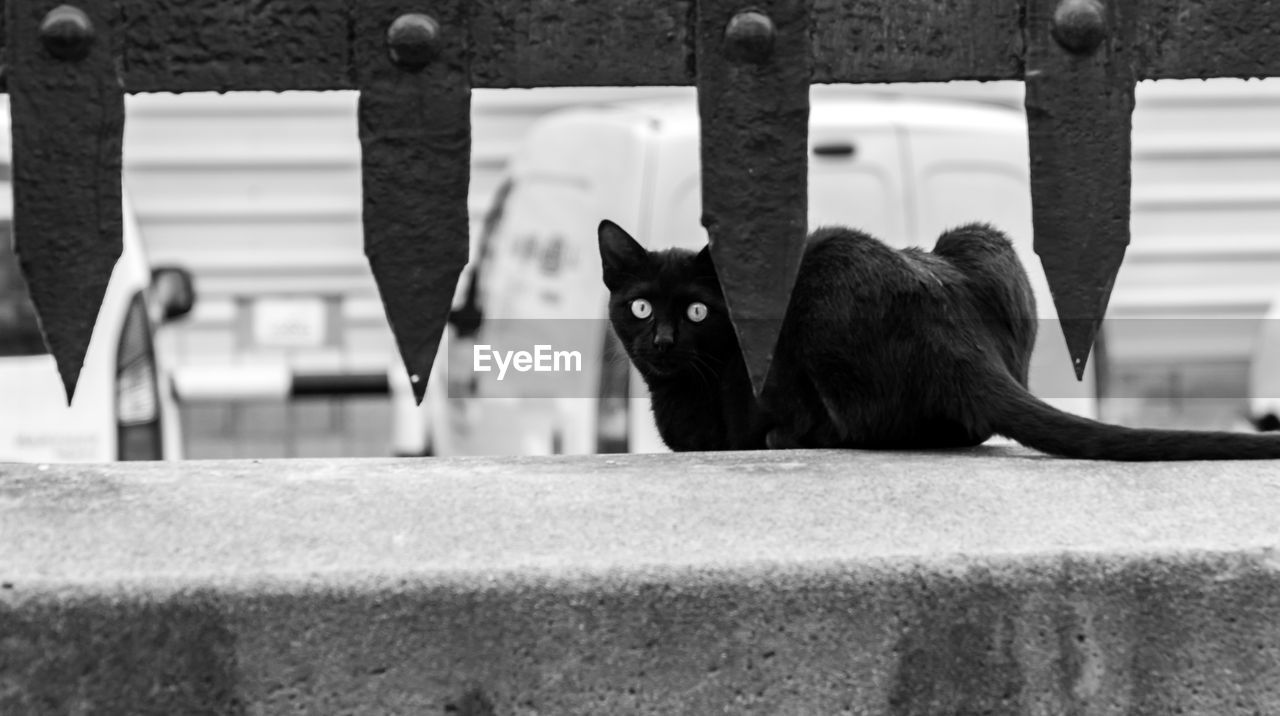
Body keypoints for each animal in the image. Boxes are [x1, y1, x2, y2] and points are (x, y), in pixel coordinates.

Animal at [599, 221, 1280, 461]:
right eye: (640, 306)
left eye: (696, 310)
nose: (662, 340)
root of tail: (963, 344)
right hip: (981, 238)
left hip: (824, 280)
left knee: (864, 426)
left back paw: (788, 438)